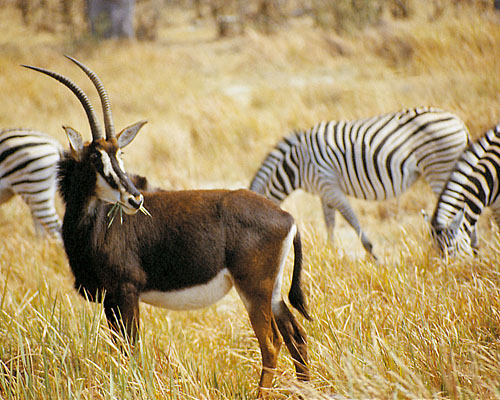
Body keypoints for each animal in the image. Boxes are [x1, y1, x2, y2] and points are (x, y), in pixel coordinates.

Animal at [24, 57, 312, 396]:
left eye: (119, 153)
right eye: (96, 156)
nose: (135, 199)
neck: (96, 223)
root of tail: (286, 217)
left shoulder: (126, 290)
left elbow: (131, 349)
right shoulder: (110, 299)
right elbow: (120, 348)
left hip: (254, 289)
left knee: (271, 344)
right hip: (274, 292)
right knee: (297, 337)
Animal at [252, 106, 470, 258]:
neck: (296, 164)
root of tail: (459, 122)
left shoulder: (329, 185)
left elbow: (351, 219)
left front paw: (372, 255)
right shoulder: (324, 192)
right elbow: (330, 223)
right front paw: (330, 252)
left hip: (440, 169)